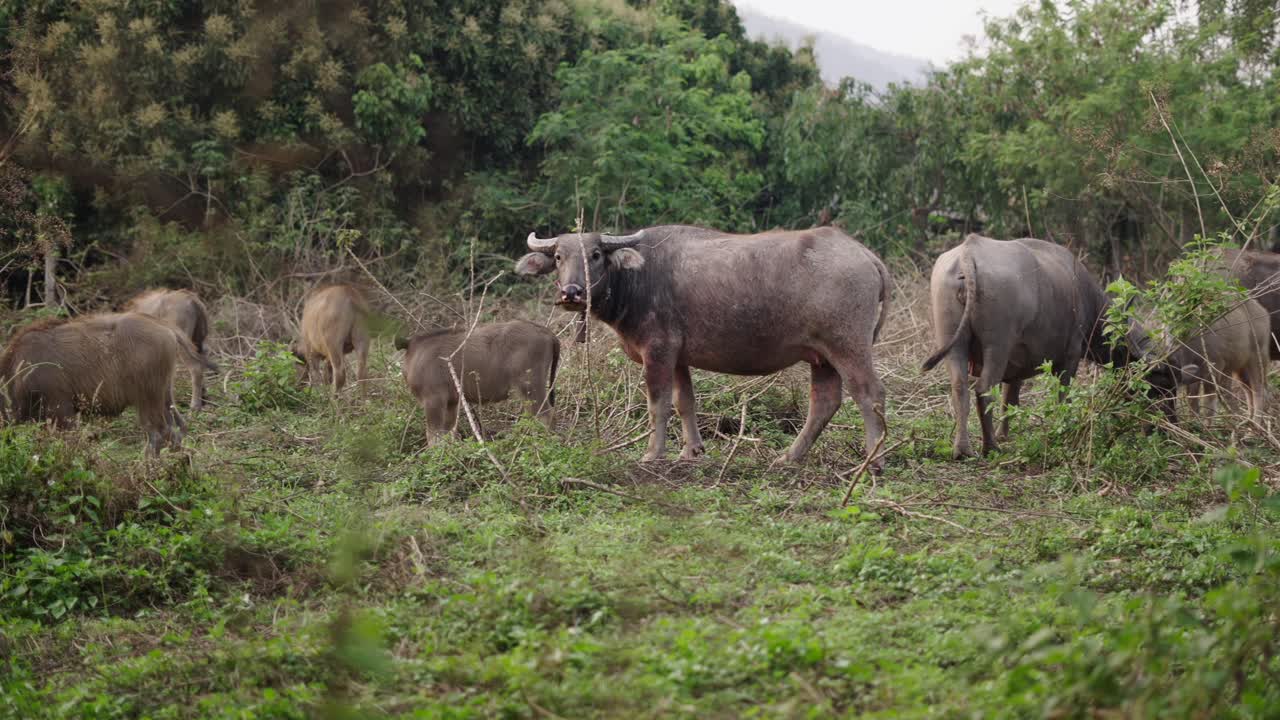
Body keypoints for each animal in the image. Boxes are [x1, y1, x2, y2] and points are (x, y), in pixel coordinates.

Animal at [0, 313, 216, 456]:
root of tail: (164, 327)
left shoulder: (61, 412)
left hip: (147, 399)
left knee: (158, 433)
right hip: (165, 396)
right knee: (178, 429)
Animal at [397, 321, 559, 444]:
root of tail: (546, 332)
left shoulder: (433, 400)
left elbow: (434, 435)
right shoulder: (452, 402)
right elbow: (449, 431)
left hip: (530, 387)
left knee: (545, 415)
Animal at [516, 225, 891, 469]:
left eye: (594, 255)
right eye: (559, 257)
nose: (572, 293)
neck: (636, 279)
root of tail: (864, 254)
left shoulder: (658, 351)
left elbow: (659, 405)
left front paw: (653, 453)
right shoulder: (678, 358)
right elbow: (685, 402)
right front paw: (691, 451)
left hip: (848, 345)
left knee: (869, 394)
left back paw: (873, 461)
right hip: (821, 357)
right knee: (824, 402)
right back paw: (789, 456)